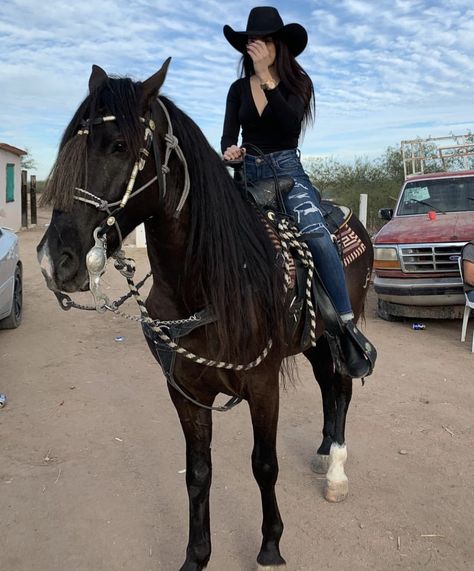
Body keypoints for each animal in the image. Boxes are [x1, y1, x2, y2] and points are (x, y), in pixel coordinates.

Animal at [37, 59, 376, 571]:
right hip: (315, 339)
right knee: (327, 387)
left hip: (339, 329)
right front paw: (196, 556)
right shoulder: (186, 391)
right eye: (71, 145)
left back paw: (336, 470)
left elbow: (264, 465)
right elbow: (197, 473)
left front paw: (270, 545)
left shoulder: (263, 385)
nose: (55, 261)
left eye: (119, 146)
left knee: (340, 385)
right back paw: (322, 452)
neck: (210, 282)